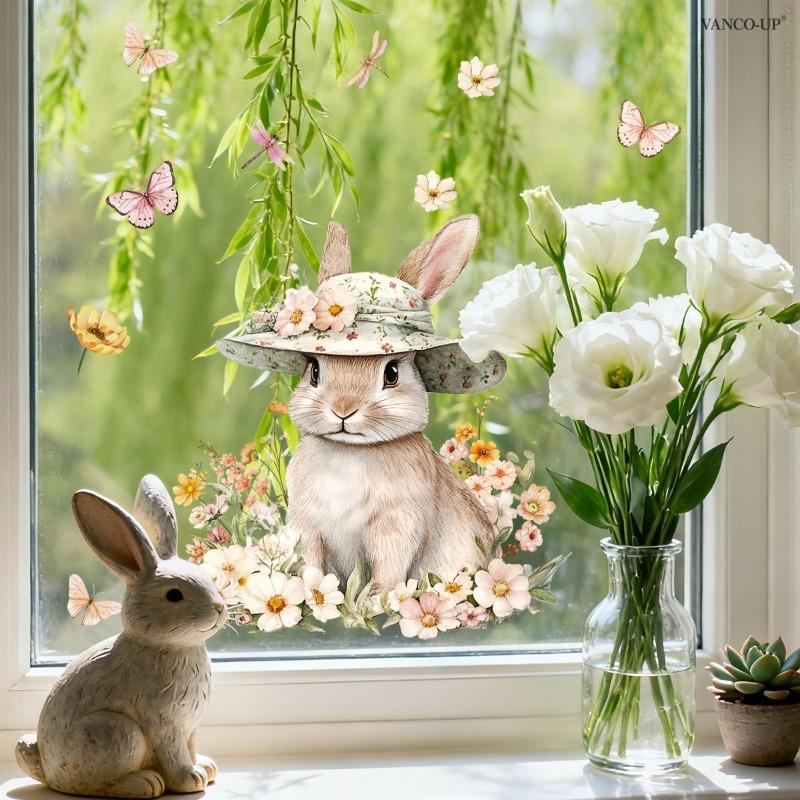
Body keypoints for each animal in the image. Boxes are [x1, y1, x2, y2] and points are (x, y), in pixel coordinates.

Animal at [15, 475, 227, 798]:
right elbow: (175, 754)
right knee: (96, 783)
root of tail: (48, 771)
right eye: (174, 595)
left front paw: (205, 767)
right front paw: (190, 779)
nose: (219, 608)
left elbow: (191, 747)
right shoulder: (165, 724)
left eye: (209, 579)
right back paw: (145, 782)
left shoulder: (190, 726)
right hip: (117, 733)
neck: (166, 647)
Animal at [287, 215, 495, 591]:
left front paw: (376, 597)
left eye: (392, 373)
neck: (351, 451)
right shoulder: (307, 526)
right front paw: (310, 593)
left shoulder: (396, 525)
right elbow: (310, 564)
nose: (343, 410)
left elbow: (388, 569)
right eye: (314, 369)